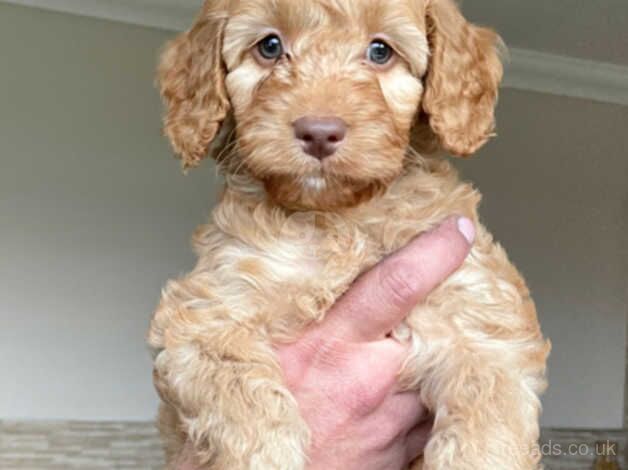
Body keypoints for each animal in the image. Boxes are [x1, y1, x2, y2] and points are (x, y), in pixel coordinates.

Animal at [148, 0, 548, 470]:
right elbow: (240, 390)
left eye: (380, 51)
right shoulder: (211, 310)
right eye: (270, 46)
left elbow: (488, 419)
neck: (342, 218)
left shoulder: (481, 325)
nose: (319, 131)